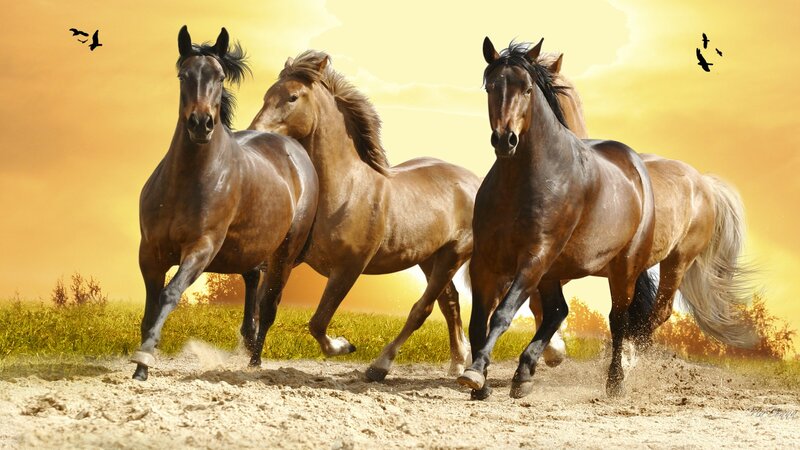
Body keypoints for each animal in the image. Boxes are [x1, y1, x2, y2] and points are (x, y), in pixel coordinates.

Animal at [130, 26, 318, 381]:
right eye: (183, 75)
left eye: (219, 76)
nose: (201, 123)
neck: (186, 182)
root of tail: (294, 149)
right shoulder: (150, 252)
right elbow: (150, 308)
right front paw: (141, 363)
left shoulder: (202, 247)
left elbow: (169, 294)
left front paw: (144, 359)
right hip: (249, 248)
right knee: (252, 286)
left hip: (284, 254)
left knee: (268, 307)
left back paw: (254, 362)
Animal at [249, 50, 481, 381]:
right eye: (267, 94)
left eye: (292, 97)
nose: (256, 132)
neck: (345, 189)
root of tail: (474, 182)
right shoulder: (285, 258)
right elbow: (266, 306)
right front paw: (251, 361)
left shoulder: (349, 268)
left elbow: (318, 322)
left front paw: (344, 345)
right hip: (429, 259)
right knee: (450, 303)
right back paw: (458, 362)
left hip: (452, 256)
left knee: (422, 309)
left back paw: (379, 366)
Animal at [456, 37, 659, 399]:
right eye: (491, 87)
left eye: (526, 89)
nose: (505, 139)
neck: (522, 182)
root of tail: (635, 165)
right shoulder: (486, 260)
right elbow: (479, 320)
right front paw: (480, 381)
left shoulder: (534, 256)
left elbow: (503, 314)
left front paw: (476, 373)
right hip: (554, 270)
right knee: (557, 311)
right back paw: (524, 374)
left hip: (622, 268)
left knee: (617, 319)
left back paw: (615, 383)